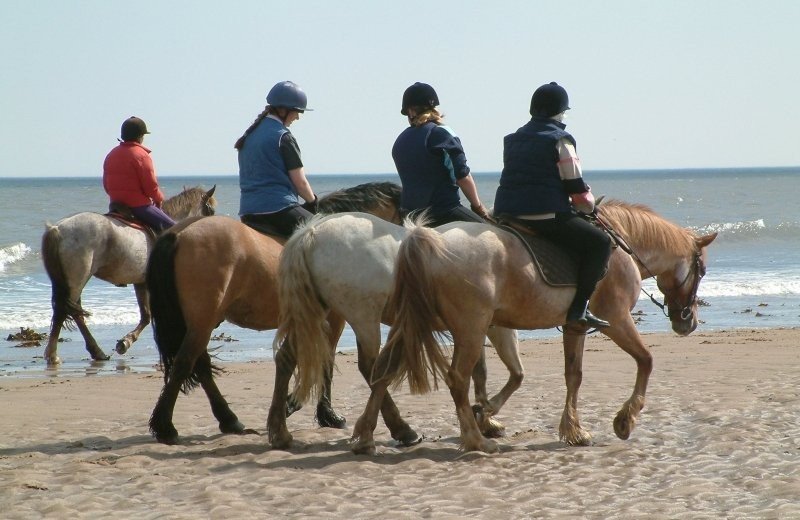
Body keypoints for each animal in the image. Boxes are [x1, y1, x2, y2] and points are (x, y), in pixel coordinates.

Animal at [40, 185, 216, 364]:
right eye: (211, 211)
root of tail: (58, 229)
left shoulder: (140, 282)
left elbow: (145, 316)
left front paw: (125, 342)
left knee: (73, 312)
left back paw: (96, 352)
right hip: (77, 280)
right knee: (65, 311)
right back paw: (54, 354)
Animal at [145, 182, 400, 442]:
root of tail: (180, 233)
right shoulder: (334, 318)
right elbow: (327, 360)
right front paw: (323, 413)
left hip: (200, 321)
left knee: (200, 364)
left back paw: (228, 419)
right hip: (202, 321)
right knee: (185, 362)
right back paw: (166, 426)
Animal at [268, 213, 520, 448]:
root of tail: (311, 233)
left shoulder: (473, 326)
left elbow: (481, 372)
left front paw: (485, 418)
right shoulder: (485, 324)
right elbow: (497, 372)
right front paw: (485, 417)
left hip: (315, 311)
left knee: (286, 358)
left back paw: (279, 431)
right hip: (363, 315)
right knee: (371, 366)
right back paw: (401, 429)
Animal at [354, 201, 716, 452]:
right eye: (702, 271)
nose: (688, 322)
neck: (621, 245)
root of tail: (424, 236)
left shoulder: (575, 327)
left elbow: (574, 375)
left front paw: (574, 430)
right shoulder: (616, 320)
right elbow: (646, 360)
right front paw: (625, 420)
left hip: (413, 325)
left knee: (383, 371)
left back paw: (367, 436)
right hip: (470, 329)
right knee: (456, 378)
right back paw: (476, 441)